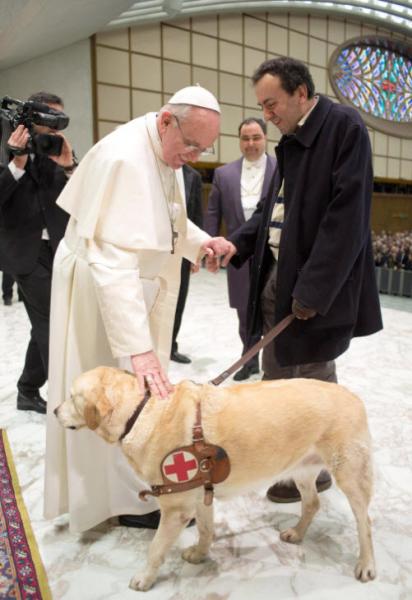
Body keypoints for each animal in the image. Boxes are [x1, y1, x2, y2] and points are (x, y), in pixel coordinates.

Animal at [54, 366, 376, 592]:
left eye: (71, 397)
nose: (55, 410)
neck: (139, 412)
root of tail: (354, 396)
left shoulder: (175, 509)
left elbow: (155, 548)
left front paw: (145, 578)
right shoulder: (200, 495)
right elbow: (206, 529)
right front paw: (200, 553)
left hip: (350, 475)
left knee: (365, 522)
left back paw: (367, 564)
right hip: (302, 471)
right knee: (312, 503)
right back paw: (297, 533)